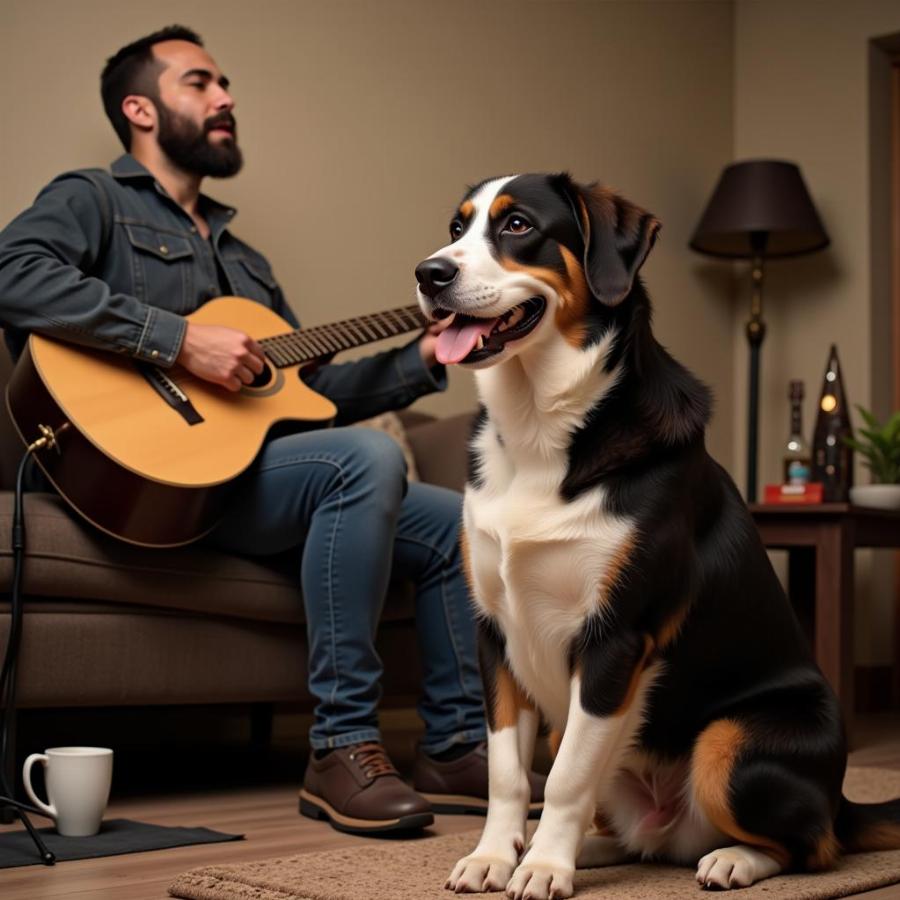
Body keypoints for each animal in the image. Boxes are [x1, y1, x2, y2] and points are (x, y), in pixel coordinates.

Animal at [414, 172, 900, 896]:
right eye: (456, 227)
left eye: (518, 225)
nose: (428, 274)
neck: (538, 429)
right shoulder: (494, 634)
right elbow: (509, 775)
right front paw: (497, 855)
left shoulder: (616, 637)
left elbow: (566, 779)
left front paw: (544, 867)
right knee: (641, 839)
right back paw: (591, 847)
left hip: (734, 740)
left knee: (813, 845)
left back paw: (731, 858)